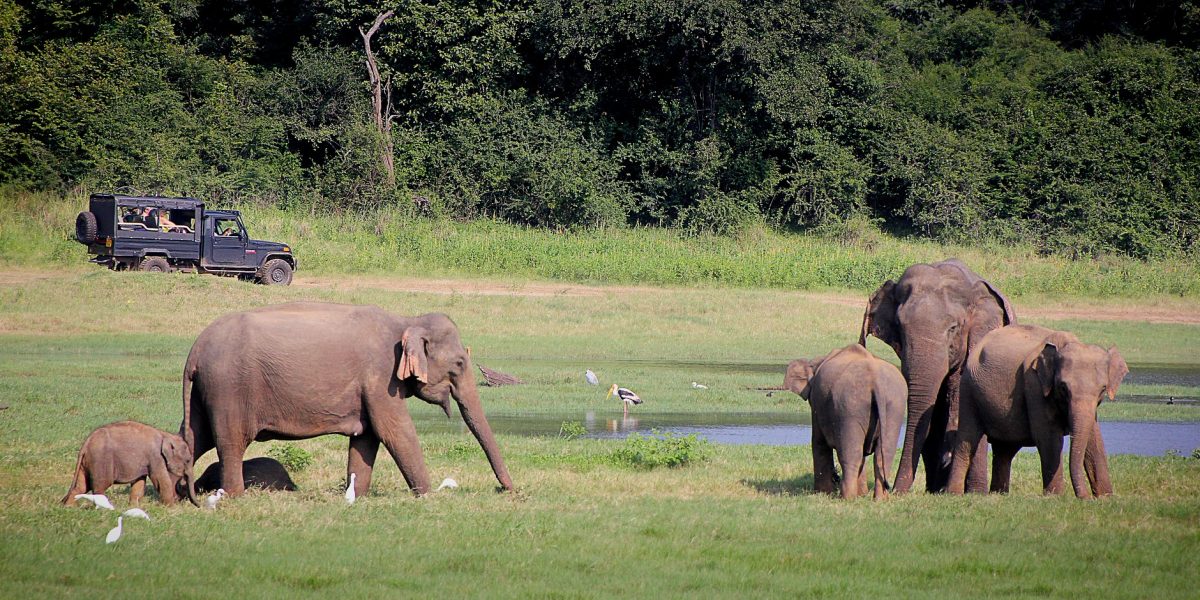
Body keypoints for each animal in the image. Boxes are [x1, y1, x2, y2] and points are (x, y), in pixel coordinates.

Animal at [62, 420, 199, 506]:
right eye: (188, 460)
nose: (199, 506)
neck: (166, 434)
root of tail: (86, 443)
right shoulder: (156, 457)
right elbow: (161, 480)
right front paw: (171, 508)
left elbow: (139, 482)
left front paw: (134, 506)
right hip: (101, 461)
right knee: (100, 486)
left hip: (87, 463)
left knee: (81, 486)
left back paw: (69, 507)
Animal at [180, 301, 514, 498]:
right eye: (459, 363)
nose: (507, 489)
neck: (406, 320)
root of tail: (195, 350)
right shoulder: (380, 377)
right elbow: (394, 431)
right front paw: (428, 496)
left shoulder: (370, 388)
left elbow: (366, 437)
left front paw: (358, 496)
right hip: (229, 389)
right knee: (230, 442)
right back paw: (234, 497)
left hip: (205, 392)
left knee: (193, 437)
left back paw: (180, 495)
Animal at [785, 344, 906, 499]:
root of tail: (876, 380)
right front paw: (862, 494)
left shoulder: (817, 405)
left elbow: (818, 442)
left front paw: (822, 493)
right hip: (894, 406)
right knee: (883, 453)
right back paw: (880, 499)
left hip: (849, 406)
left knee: (851, 454)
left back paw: (847, 498)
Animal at [947, 324, 1127, 499]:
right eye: (1063, 387)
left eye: (1103, 389)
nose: (1084, 497)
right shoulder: (1034, 385)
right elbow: (1048, 438)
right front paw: (1055, 497)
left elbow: (1094, 439)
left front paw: (1106, 497)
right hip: (968, 390)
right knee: (967, 440)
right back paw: (955, 494)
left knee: (1005, 450)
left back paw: (999, 494)